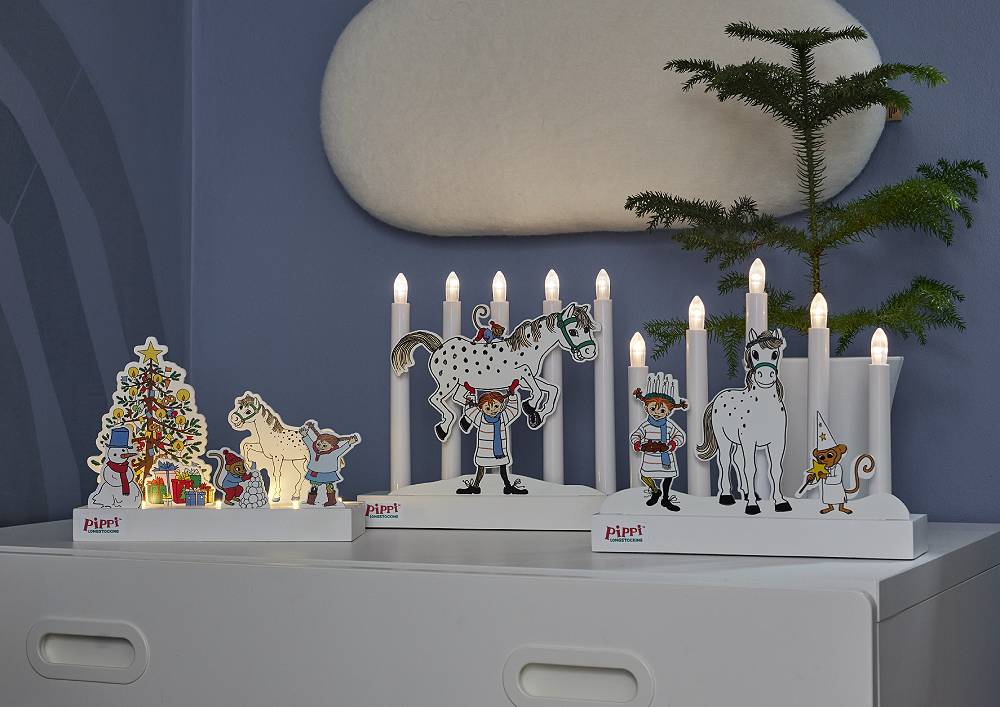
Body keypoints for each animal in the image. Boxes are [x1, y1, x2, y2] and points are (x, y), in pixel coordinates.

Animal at [391, 302, 598, 442]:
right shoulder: (523, 374)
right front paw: (531, 408)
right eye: (573, 332)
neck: (529, 348)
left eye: (587, 329)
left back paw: (465, 421)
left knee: (458, 398)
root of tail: (438, 347)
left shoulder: (527, 379)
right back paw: (443, 428)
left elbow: (552, 389)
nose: (590, 351)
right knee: (436, 399)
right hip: (447, 383)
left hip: (460, 383)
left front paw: (537, 416)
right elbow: (539, 392)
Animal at [696, 328, 792, 515]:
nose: (766, 376)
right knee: (726, 462)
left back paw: (748, 493)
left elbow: (776, 469)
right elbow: (751, 469)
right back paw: (726, 496)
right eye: (754, 353)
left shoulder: (778, 442)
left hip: (738, 443)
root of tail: (717, 398)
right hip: (725, 440)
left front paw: (780, 502)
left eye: (775, 353)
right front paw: (752, 506)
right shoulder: (749, 441)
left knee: (738, 462)